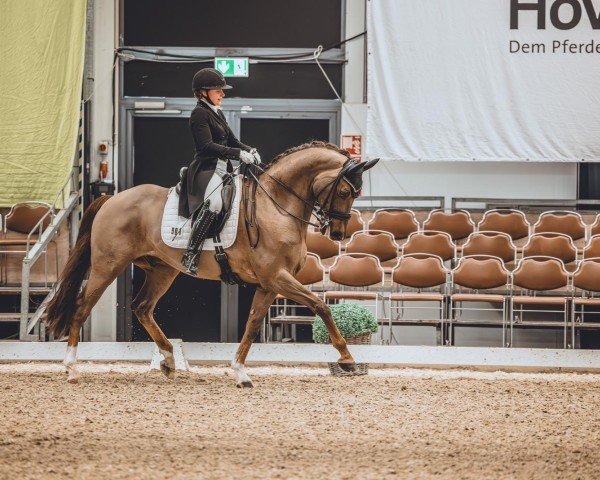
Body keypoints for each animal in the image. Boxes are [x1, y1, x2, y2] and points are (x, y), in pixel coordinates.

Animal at [45, 142, 376, 386]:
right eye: (345, 191)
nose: (338, 233)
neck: (276, 206)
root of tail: (110, 200)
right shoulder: (277, 277)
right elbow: (321, 306)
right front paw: (347, 358)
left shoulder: (270, 284)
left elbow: (253, 323)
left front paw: (240, 372)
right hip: (108, 265)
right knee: (81, 308)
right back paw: (71, 368)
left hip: (163, 269)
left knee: (142, 307)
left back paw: (168, 358)